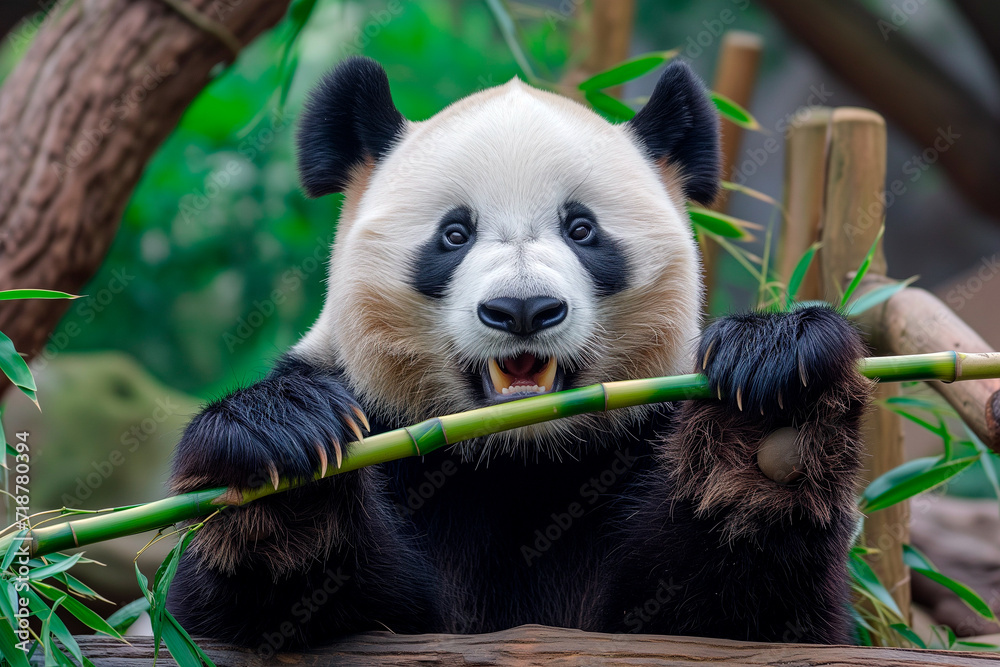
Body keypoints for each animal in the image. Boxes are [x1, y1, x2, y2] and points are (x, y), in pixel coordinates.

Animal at [167, 56, 870, 649]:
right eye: (454, 234)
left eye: (582, 229)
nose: (523, 309)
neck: (517, 453)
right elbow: (241, 611)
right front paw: (279, 453)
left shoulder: (641, 438)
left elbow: (754, 609)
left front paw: (771, 399)